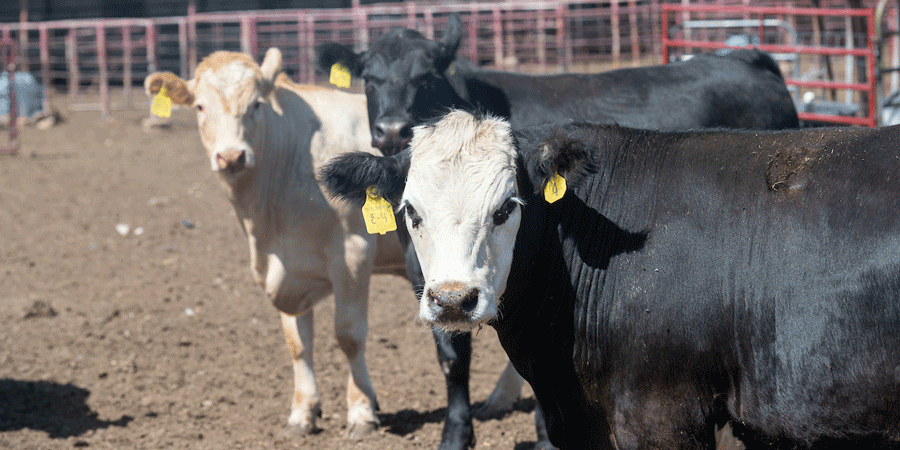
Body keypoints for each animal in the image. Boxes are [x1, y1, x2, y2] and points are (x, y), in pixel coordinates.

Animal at [144, 48, 406, 438]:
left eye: (256, 104)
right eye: (200, 107)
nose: (231, 157)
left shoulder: (354, 255)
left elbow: (349, 335)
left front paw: (361, 411)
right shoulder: (284, 271)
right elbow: (297, 344)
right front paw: (303, 412)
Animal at [316, 13, 800, 450]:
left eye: (426, 74)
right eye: (369, 78)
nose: (392, 129)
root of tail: (746, 59)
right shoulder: (428, 276)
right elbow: (453, 358)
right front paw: (456, 435)